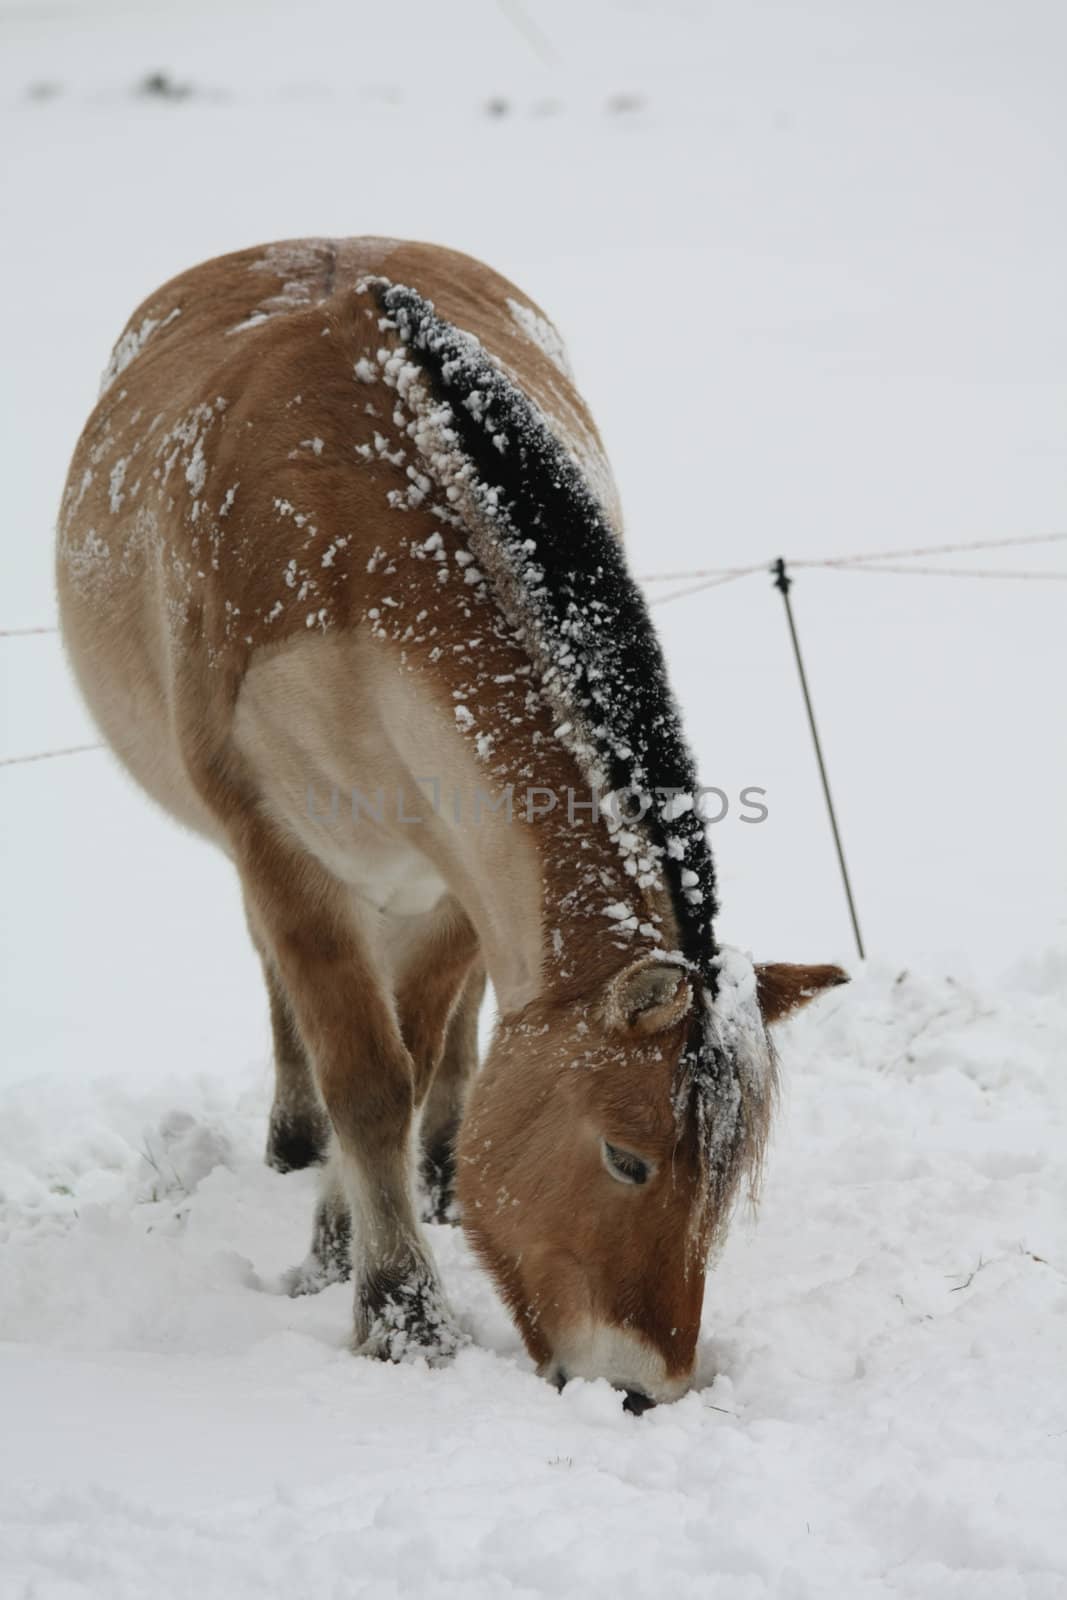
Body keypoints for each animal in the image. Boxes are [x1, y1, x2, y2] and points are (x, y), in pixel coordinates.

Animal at [58, 240, 844, 1414]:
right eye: (626, 1159)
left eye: (725, 1185)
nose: (640, 1393)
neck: (356, 549)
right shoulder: (287, 860)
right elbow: (365, 1079)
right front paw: (396, 1313)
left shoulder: (444, 882)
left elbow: (421, 1052)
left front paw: (360, 1236)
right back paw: (296, 1140)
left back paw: (430, 1170)